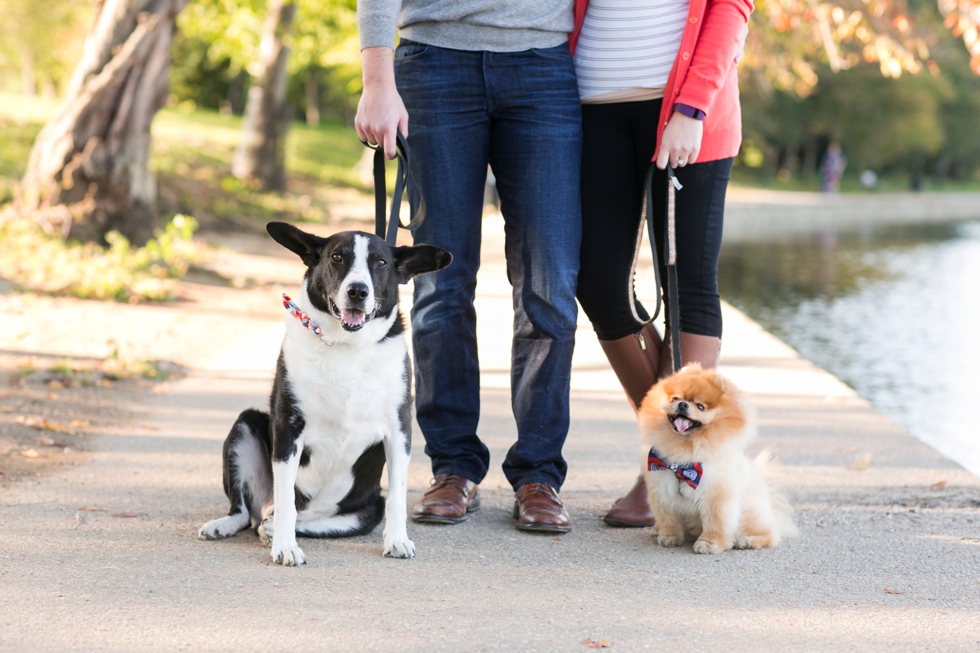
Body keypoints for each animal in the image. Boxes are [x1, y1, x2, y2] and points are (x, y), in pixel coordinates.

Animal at [199, 222, 452, 564]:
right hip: (245, 425)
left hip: (363, 512)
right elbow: (286, 502)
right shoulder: (288, 427)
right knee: (249, 512)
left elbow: (398, 494)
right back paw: (229, 525)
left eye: (380, 262)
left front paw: (398, 539)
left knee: (294, 520)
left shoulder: (399, 429)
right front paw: (285, 547)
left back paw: (270, 529)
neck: (347, 346)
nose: (358, 291)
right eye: (337, 257)